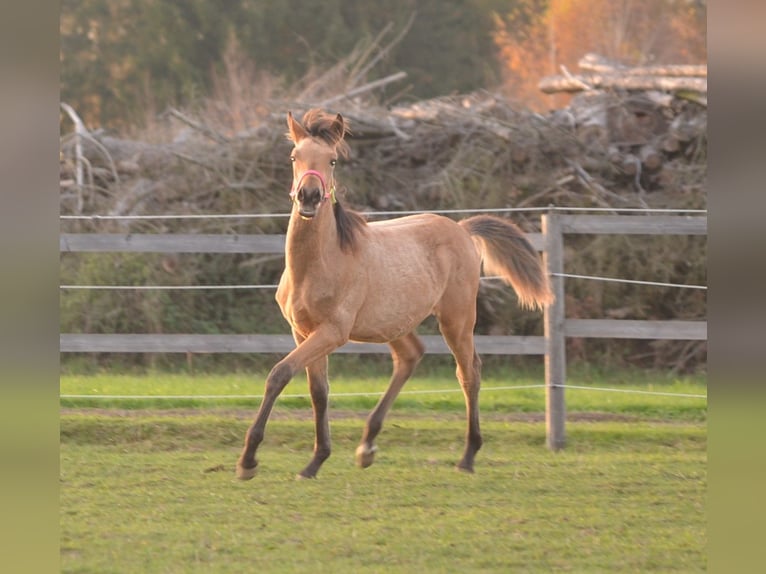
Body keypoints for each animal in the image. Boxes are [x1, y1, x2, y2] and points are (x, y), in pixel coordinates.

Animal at [237, 108, 556, 482]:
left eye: (332, 160)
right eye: (294, 157)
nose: (309, 197)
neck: (322, 262)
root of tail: (462, 229)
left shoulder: (332, 332)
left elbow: (279, 374)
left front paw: (248, 460)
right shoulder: (302, 331)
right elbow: (318, 392)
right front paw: (315, 461)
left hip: (457, 319)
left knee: (469, 373)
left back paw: (467, 456)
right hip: (393, 324)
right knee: (411, 356)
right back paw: (367, 447)